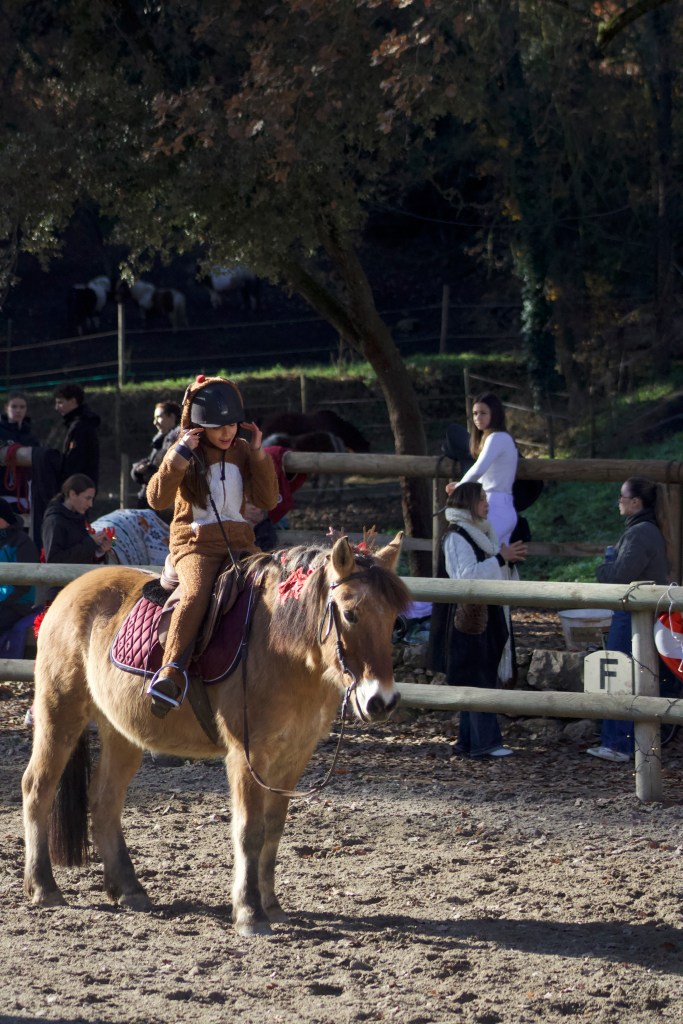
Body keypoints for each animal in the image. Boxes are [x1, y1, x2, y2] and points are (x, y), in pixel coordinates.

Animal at [22, 534, 407, 935]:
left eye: (393, 618)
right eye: (350, 613)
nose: (382, 701)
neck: (282, 647)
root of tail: (67, 593)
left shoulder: (293, 757)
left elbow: (273, 829)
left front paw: (272, 906)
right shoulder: (247, 755)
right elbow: (249, 831)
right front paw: (250, 913)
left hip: (121, 733)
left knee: (105, 800)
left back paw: (129, 889)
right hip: (60, 711)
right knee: (38, 787)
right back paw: (44, 887)